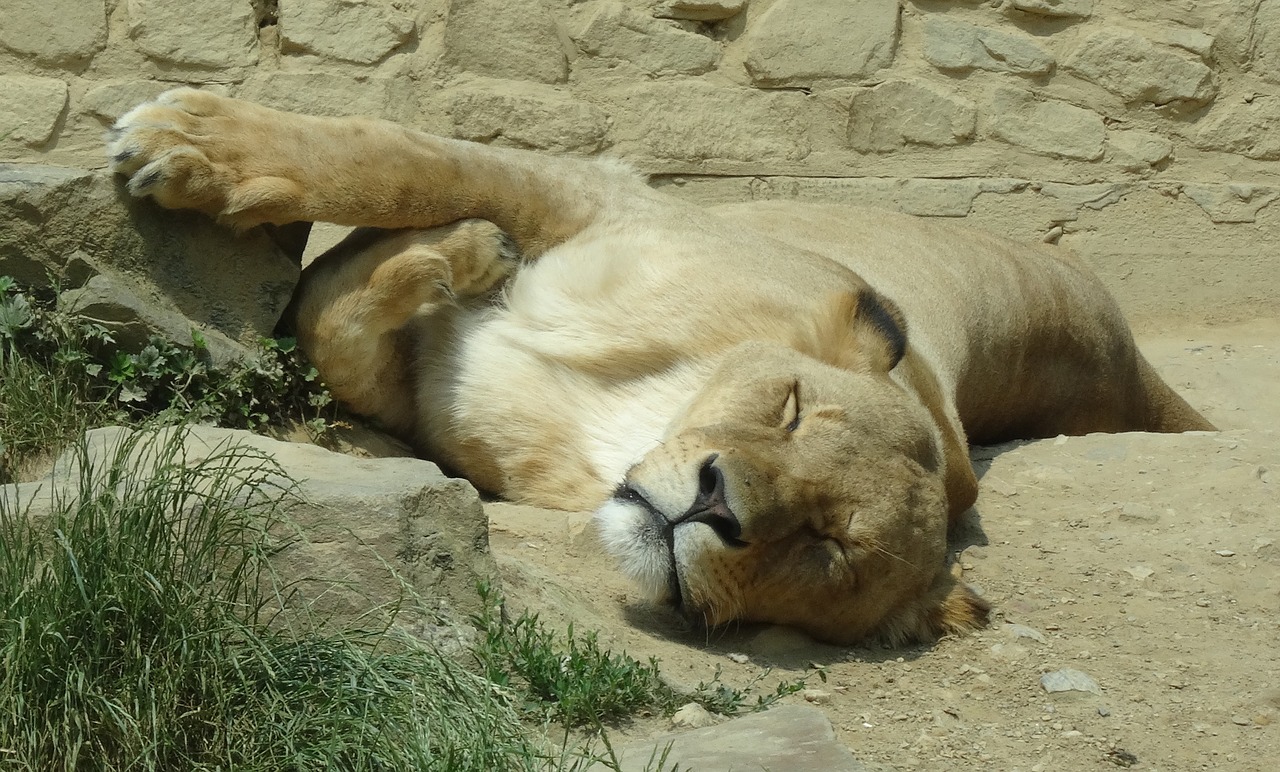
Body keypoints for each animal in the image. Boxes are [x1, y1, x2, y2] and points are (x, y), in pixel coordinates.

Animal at [104, 88, 1213, 645]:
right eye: (792, 408)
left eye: (826, 548)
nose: (716, 504)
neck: (618, 416)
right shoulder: (591, 191)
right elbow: (403, 162)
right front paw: (190, 139)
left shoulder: (422, 407)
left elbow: (336, 328)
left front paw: (457, 255)